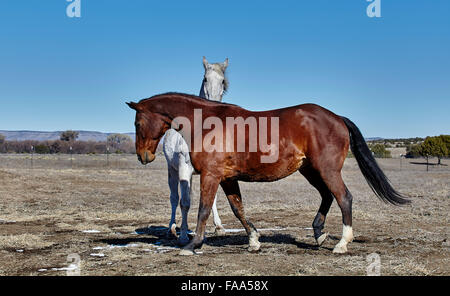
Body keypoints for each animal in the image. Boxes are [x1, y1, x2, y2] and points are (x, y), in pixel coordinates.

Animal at [125, 92, 408, 254]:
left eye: (137, 123)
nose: (143, 156)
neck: (206, 123)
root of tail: (337, 117)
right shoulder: (228, 179)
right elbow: (238, 209)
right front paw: (253, 240)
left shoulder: (211, 176)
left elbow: (204, 209)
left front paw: (193, 244)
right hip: (310, 170)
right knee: (328, 196)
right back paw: (319, 233)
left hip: (326, 169)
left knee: (343, 198)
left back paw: (341, 243)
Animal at [162, 56, 229, 245]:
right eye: (205, 79)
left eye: (223, 81)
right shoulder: (184, 167)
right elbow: (184, 202)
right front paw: (184, 236)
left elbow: (210, 199)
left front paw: (215, 228)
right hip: (173, 170)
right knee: (174, 198)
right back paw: (172, 228)